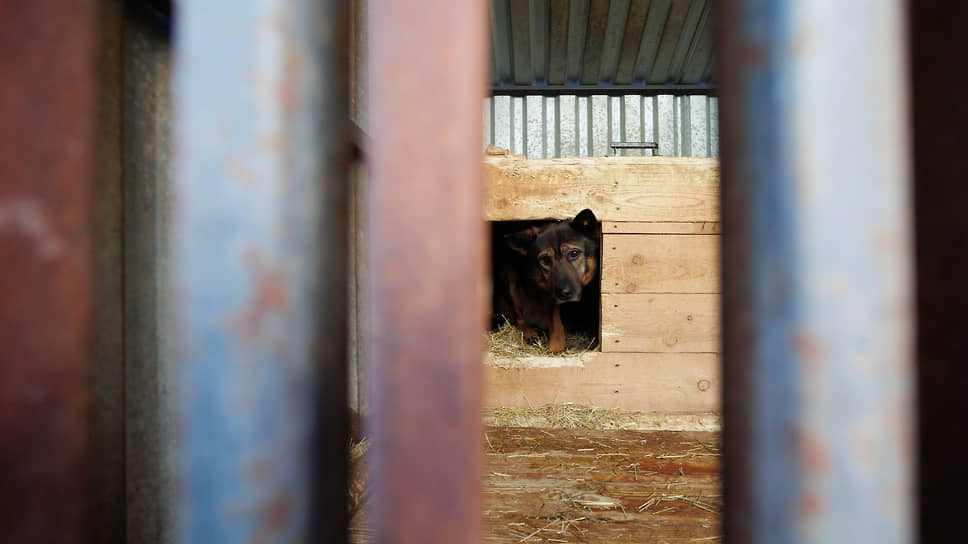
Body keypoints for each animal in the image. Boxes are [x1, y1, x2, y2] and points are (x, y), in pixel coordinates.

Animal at [496, 208, 600, 352]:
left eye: (574, 253)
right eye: (545, 259)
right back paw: (529, 332)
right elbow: (555, 322)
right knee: (518, 317)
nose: (564, 293)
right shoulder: (548, 294)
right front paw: (555, 348)